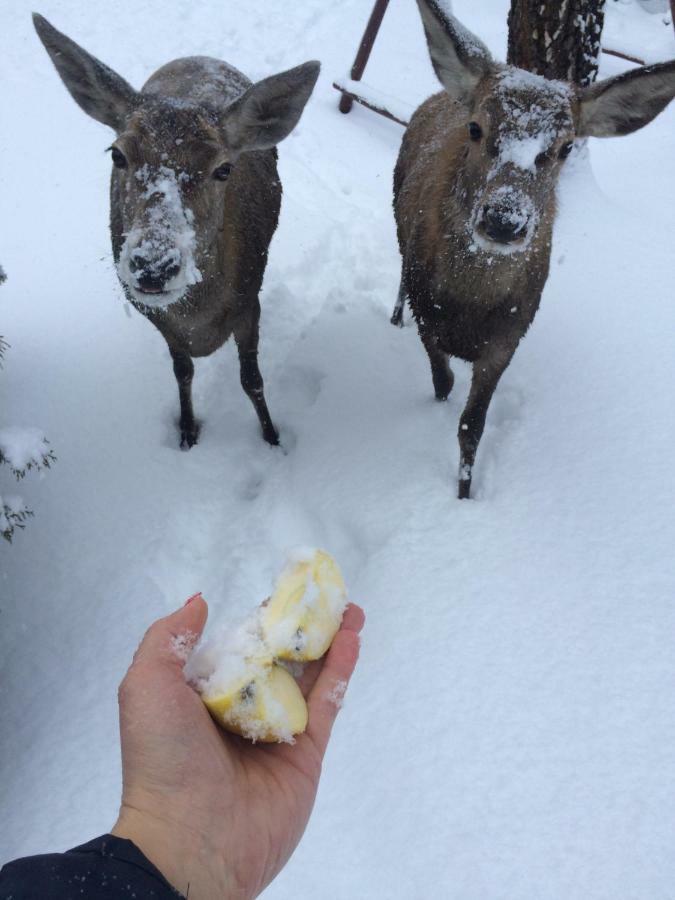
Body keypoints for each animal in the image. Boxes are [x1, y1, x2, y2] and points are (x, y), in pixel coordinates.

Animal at [35, 14, 322, 450]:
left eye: (224, 168)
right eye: (117, 154)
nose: (154, 265)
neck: (200, 321)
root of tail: (198, 56)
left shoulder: (249, 300)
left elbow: (251, 380)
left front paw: (273, 438)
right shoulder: (159, 319)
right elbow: (182, 371)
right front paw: (187, 431)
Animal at [390, 0, 675, 500]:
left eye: (565, 148)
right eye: (476, 128)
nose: (504, 219)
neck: (468, 309)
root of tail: (443, 92)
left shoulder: (510, 335)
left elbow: (473, 426)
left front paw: (464, 494)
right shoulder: (429, 315)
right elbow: (442, 380)